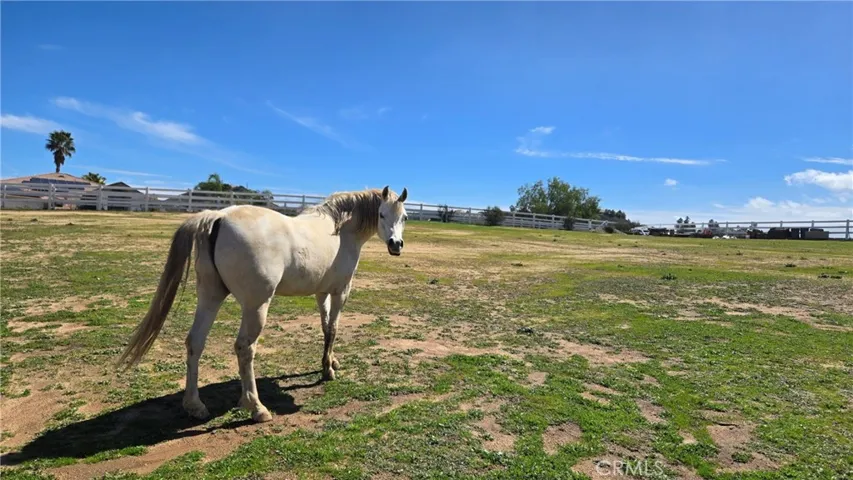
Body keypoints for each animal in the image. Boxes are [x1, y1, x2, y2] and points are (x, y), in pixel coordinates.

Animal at [117, 185, 409, 423]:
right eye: (381, 214)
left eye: (404, 217)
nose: (396, 244)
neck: (339, 229)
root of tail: (217, 217)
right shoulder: (340, 292)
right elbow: (334, 329)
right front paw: (328, 370)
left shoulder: (321, 293)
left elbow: (326, 327)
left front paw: (331, 362)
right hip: (257, 306)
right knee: (244, 348)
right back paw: (256, 408)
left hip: (210, 298)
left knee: (195, 343)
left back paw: (194, 405)